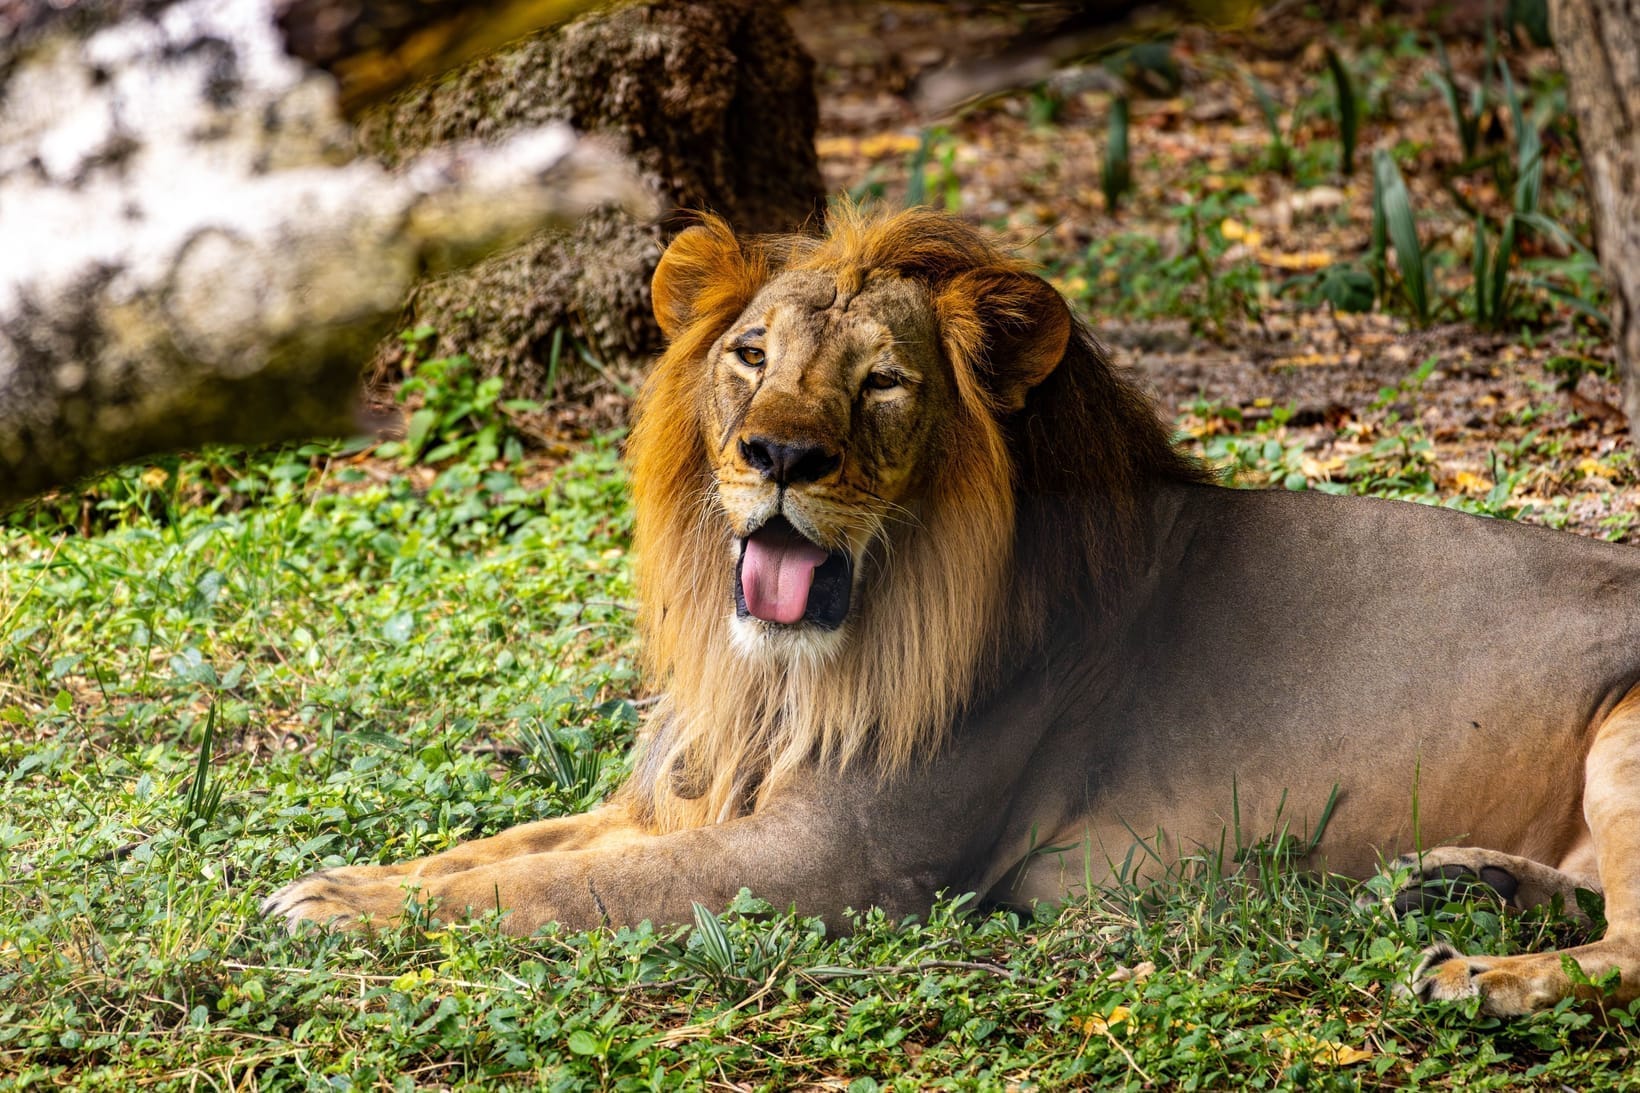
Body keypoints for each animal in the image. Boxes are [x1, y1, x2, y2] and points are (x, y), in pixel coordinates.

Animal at [266, 205, 1640, 1016]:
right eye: (751, 354)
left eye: (881, 382)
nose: (778, 456)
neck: (782, 673)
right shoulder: (685, 797)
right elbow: (508, 847)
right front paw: (341, 879)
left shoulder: (838, 860)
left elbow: (562, 891)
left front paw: (338, 913)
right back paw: (1460, 884)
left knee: (1627, 950)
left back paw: (1479, 971)